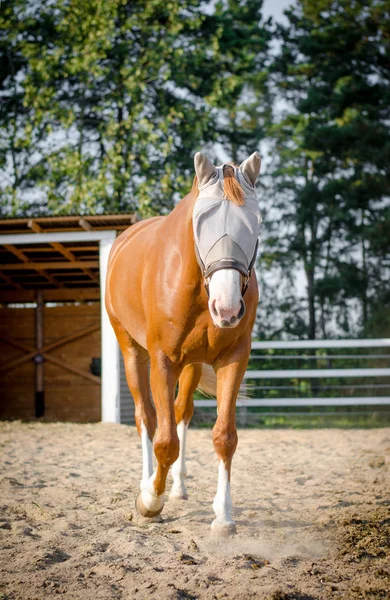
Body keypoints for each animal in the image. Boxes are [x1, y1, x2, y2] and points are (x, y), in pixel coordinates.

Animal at [105, 151, 260, 536]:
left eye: (254, 222)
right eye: (200, 222)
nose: (227, 308)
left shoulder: (234, 359)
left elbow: (224, 437)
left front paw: (223, 516)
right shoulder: (163, 361)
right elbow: (164, 442)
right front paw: (149, 502)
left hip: (192, 365)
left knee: (180, 412)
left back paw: (178, 487)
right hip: (132, 351)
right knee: (146, 418)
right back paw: (148, 483)